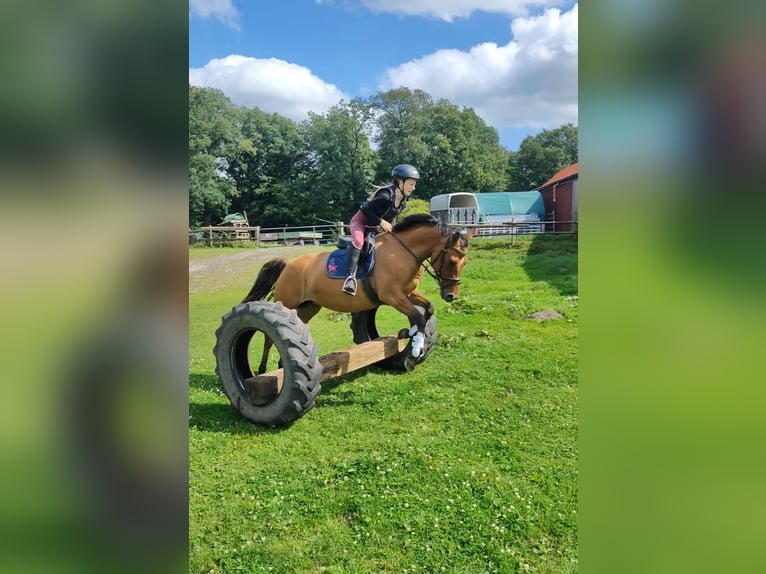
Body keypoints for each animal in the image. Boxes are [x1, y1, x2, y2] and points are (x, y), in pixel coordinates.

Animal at [244, 215, 474, 374]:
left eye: (465, 263)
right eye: (452, 261)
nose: (451, 296)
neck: (403, 252)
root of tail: (288, 263)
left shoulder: (408, 292)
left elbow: (427, 310)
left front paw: (411, 335)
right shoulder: (391, 295)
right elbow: (417, 315)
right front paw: (415, 345)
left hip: (307, 307)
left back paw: (281, 365)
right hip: (287, 302)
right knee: (268, 336)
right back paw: (263, 369)